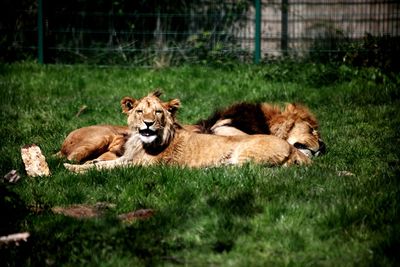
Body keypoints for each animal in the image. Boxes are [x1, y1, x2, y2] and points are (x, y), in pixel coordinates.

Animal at [65, 91, 310, 173]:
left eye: (158, 112)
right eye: (140, 111)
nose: (148, 124)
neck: (139, 142)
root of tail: (294, 150)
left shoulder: (142, 167)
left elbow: (104, 169)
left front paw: (72, 169)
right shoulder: (127, 159)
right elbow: (105, 164)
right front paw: (84, 164)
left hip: (244, 153)